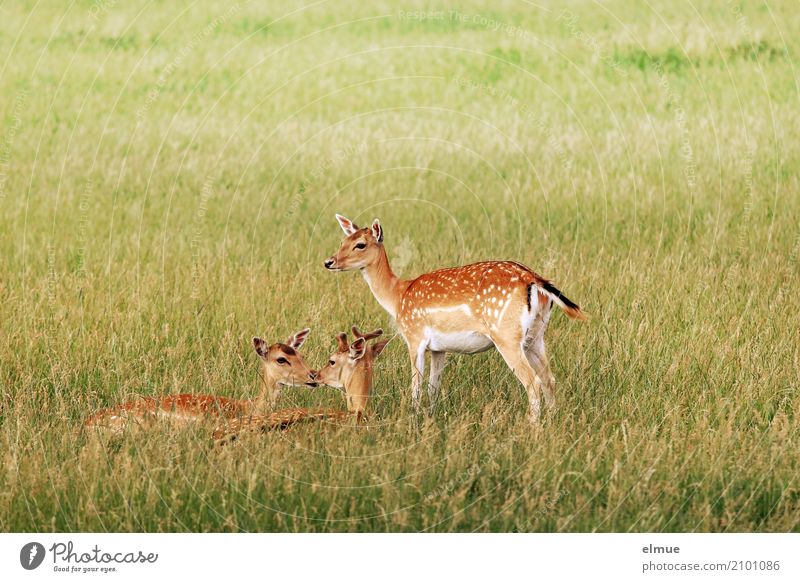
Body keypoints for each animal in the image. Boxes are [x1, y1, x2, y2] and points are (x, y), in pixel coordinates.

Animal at [324, 214, 588, 424]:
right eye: (343, 241)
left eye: (360, 244)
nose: (329, 262)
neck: (398, 295)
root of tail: (534, 280)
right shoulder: (439, 348)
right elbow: (433, 387)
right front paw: (431, 417)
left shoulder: (414, 337)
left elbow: (416, 386)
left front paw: (414, 418)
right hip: (536, 335)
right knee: (549, 379)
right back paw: (551, 423)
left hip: (507, 336)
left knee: (532, 381)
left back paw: (531, 427)